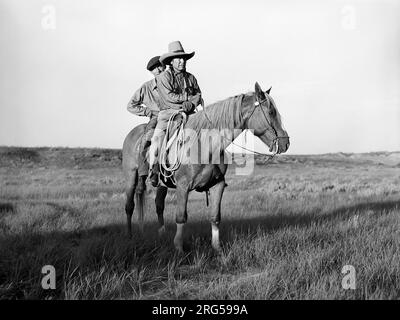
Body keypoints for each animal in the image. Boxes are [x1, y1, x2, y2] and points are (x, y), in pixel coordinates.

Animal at [120, 82, 290, 252]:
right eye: (271, 112)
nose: (286, 142)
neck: (204, 145)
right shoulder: (183, 187)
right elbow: (181, 217)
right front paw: (179, 247)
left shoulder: (218, 185)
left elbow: (215, 217)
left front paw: (217, 247)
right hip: (130, 177)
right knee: (129, 206)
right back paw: (129, 235)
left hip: (162, 184)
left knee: (159, 205)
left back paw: (160, 233)